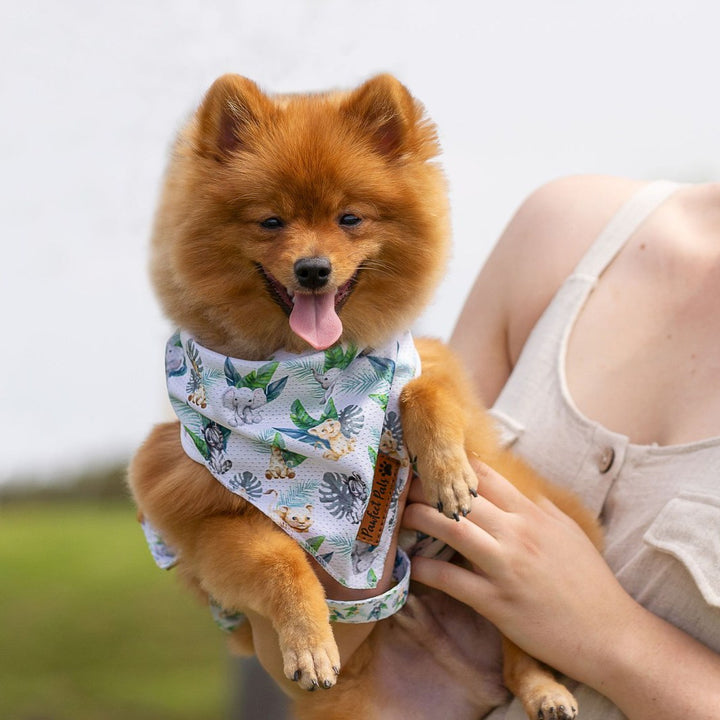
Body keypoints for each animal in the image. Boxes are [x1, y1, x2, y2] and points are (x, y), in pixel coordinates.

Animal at [129, 74, 600, 720]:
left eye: (350, 218)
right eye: (270, 221)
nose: (313, 268)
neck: (308, 370)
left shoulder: (430, 366)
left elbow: (426, 391)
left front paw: (448, 473)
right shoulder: (204, 518)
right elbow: (280, 563)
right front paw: (309, 644)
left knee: (521, 649)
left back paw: (544, 690)